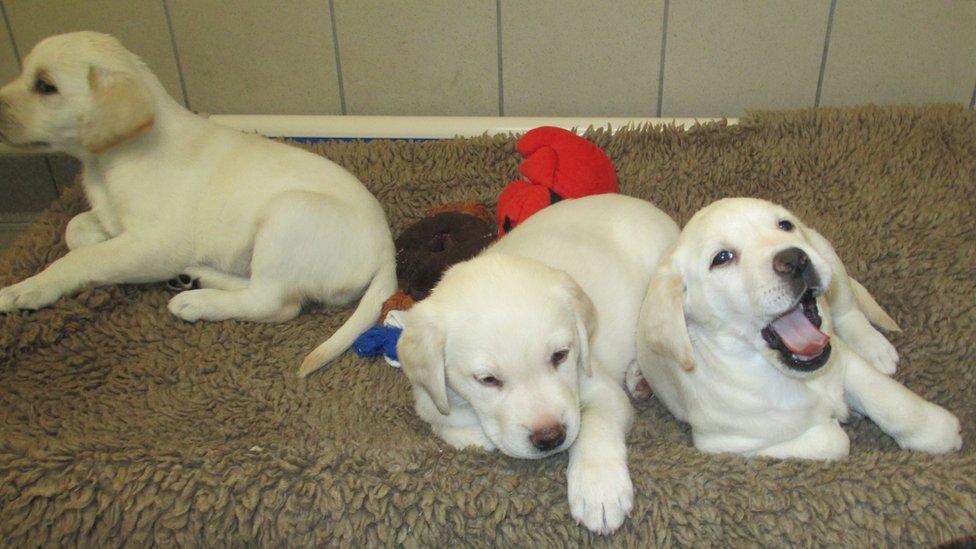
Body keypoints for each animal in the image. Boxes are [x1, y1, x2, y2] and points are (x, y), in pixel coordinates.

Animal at [0, 31, 396, 368]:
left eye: (45, 86)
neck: (107, 162)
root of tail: (387, 251)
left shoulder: (153, 245)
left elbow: (81, 260)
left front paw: (25, 289)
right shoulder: (114, 219)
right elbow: (76, 229)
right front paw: (91, 237)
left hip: (289, 214)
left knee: (272, 302)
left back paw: (197, 301)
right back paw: (199, 275)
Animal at [396, 193, 680, 532]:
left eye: (560, 355)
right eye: (487, 380)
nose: (551, 438)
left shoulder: (597, 384)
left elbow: (596, 424)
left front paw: (599, 488)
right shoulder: (429, 398)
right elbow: (447, 424)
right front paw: (478, 436)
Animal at [636, 197, 964, 458]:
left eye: (784, 225)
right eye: (721, 258)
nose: (795, 259)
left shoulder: (841, 356)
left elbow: (889, 398)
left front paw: (937, 431)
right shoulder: (731, 444)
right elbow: (836, 440)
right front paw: (841, 415)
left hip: (827, 254)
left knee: (849, 310)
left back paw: (875, 347)